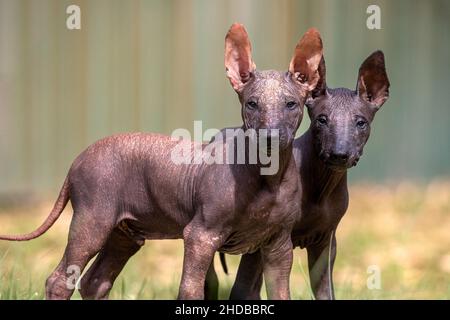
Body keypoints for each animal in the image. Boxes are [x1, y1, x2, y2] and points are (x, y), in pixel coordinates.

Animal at [0, 24, 324, 300]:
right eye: (252, 104)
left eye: (291, 104)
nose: (270, 137)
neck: (267, 176)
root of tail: (78, 158)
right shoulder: (200, 236)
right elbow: (191, 291)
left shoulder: (278, 246)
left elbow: (281, 293)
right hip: (93, 220)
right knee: (60, 279)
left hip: (125, 234)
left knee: (95, 282)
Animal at [211, 50, 390, 300]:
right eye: (321, 119)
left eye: (361, 122)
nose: (339, 154)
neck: (321, 186)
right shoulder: (268, 238)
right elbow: (244, 288)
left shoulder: (325, 241)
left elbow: (325, 292)